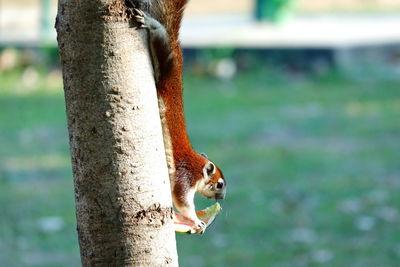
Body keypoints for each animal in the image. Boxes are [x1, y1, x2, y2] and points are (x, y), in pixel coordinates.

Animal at [130, 0, 227, 234]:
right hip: (167, 63)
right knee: (161, 39)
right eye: (219, 184)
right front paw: (196, 220)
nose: (222, 198)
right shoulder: (185, 178)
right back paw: (150, 23)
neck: (198, 165)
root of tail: (177, 46)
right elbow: (182, 202)